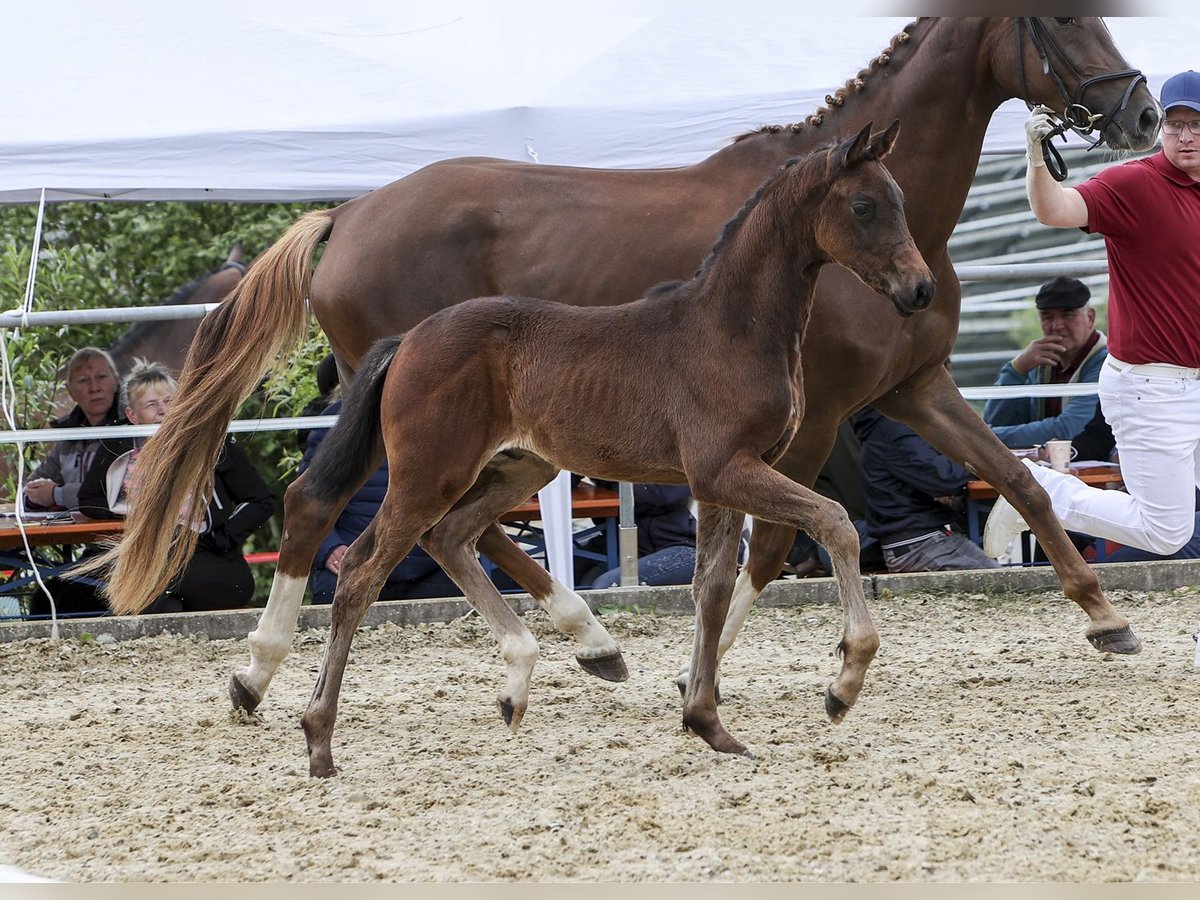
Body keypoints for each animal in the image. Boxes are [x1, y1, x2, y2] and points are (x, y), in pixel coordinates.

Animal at [105, 15, 1161, 720]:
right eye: (1065, 16)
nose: (1144, 111)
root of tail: (350, 212)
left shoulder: (914, 386)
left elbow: (1022, 480)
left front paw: (1106, 619)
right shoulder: (817, 417)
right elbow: (780, 544)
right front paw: (719, 670)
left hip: (488, 438)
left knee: (442, 527)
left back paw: (579, 646)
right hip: (423, 422)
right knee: (343, 510)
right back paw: (275, 667)